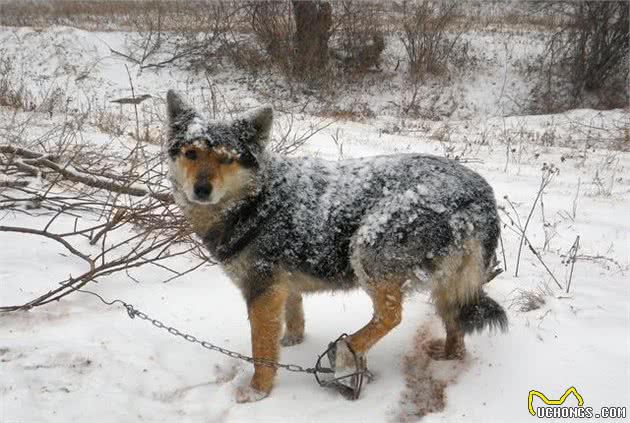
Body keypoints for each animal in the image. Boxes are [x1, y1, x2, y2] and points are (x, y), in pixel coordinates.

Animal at [164, 90, 508, 404]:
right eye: (191, 153)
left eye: (226, 158)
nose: (202, 189)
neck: (257, 200)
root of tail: (481, 192)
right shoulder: (282, 286)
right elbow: (294, 314)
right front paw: (293, 340)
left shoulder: (261, 291)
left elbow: (261, 349)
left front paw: (258, 390)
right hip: (448, 281)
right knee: (455, 323)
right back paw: (448, 357)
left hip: (367, 247)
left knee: (391, 316)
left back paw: (347, 350)